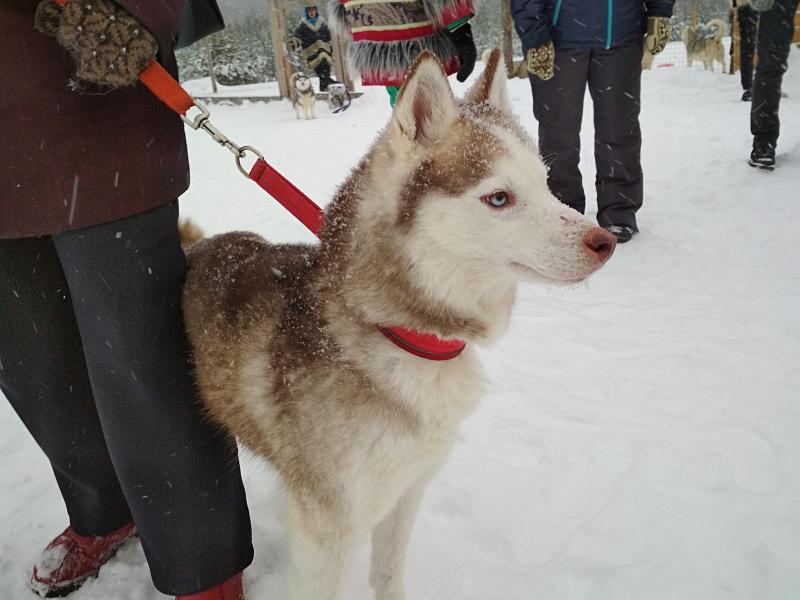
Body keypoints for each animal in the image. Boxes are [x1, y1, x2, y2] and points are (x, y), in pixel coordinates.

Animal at [184, 51, 616, 600]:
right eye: (499, 198)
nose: (606, 241)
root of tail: (196, 247)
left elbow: (387, 576)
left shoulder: (407, 491)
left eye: (543, 183)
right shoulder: (325, 532)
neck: (401, 336)